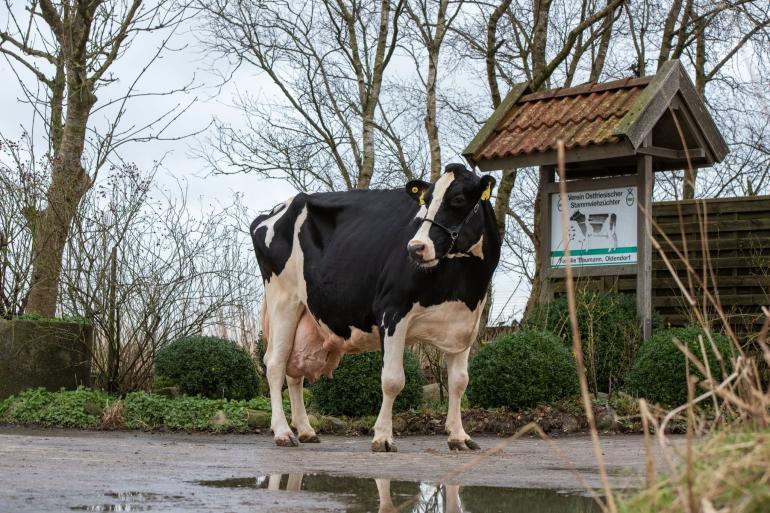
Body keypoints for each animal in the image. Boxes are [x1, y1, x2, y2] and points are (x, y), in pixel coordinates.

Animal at [252, 162, 500, 450]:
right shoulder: (392, 312)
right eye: (425, 201)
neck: (464, 282)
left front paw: (459, 436)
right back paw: (283, 432)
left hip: (306, 315)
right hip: (283, 299)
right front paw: (382, 436)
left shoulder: (464, 324)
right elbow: (392, 380)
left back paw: (305, 430)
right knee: (275, 364)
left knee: (294, 372)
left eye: (459, 199)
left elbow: (459, 382)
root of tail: (278, 209)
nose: (415, 248)